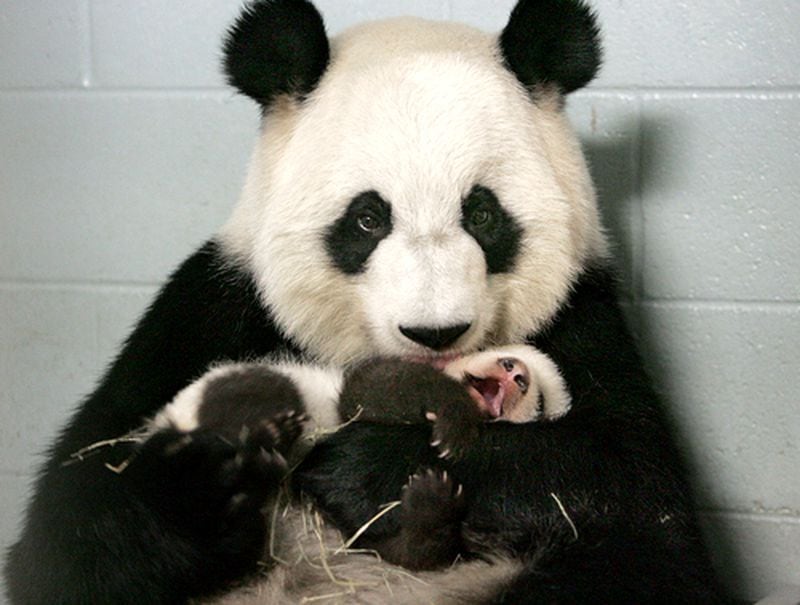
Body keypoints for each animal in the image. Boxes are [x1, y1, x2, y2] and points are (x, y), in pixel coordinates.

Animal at [0, 0, 728, 600]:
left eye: (483, 214)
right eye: (368, 219)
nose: (435, 332)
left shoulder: (586, 314)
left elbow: (632, 490)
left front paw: (367, 467)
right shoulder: (213, 310)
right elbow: (72, 521)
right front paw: (209, 476)